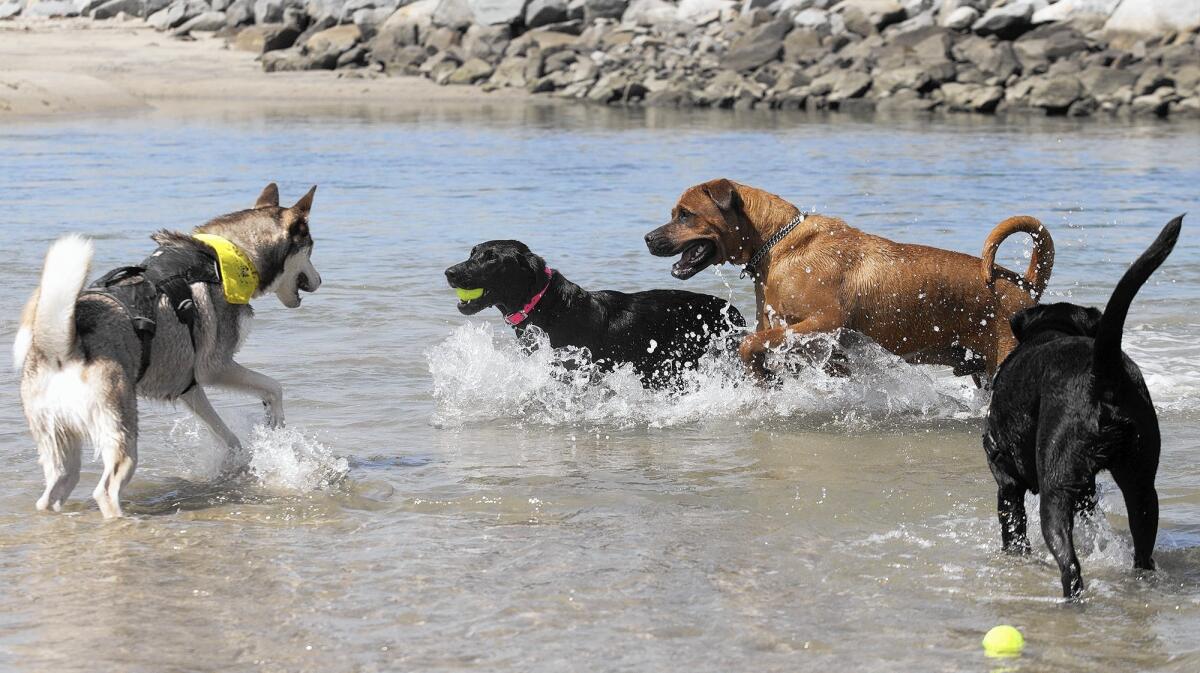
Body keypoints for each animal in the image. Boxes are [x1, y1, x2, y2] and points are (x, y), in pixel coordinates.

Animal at [14, 181, 321, 515]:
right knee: (105, 490)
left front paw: (239, 463)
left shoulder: (189, 387)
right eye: (312, 248)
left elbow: (228, 436)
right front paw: (276, 423)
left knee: (53, 491)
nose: (320, 281)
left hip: (60, 445)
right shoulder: (215, 368)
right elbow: (273, 387)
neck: (227, 258)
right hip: (122, 432)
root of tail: (61, 348)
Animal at [643, 178, 1056, 379]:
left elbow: (748, 344)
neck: (779, 245)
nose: (648, 238)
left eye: (684, 215)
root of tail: (1024, 285)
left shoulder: (824, 321)